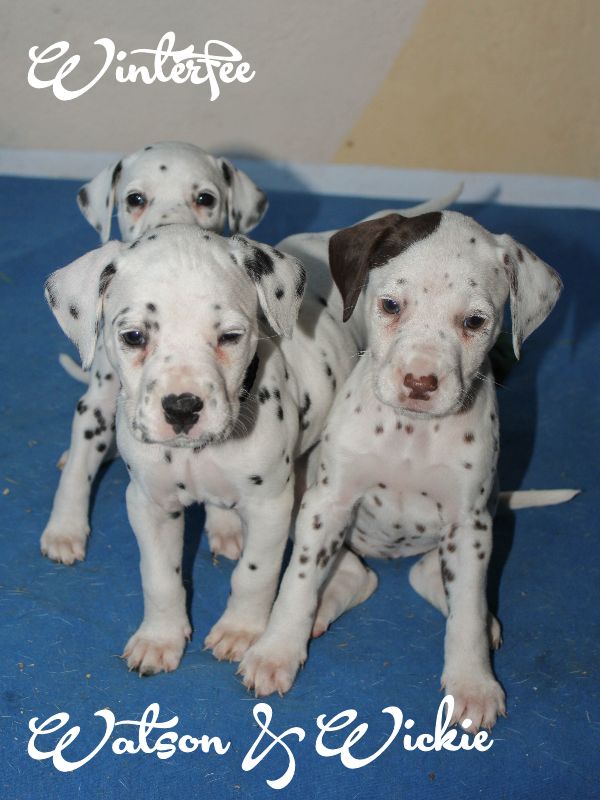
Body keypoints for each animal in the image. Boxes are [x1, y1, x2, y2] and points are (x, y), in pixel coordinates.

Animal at [41, 142, 268, 565]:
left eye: (205, 198)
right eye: (135, 199)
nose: (170, 233)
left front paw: (224, 523)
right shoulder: (97, 401)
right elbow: (81, 463)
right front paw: (64, 528)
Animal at [238, 210, 570, 732]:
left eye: (475, 321)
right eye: (391, 305)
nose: (419, 382)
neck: (411, 433)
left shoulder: (468, 524)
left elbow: (466, 612)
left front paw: (473, 682)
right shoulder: (327, 504)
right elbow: (297, 582)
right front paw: (276, 651)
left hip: (466, 538)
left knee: (438, 584)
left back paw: (485, 624)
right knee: (356, 575)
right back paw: (321, 610)